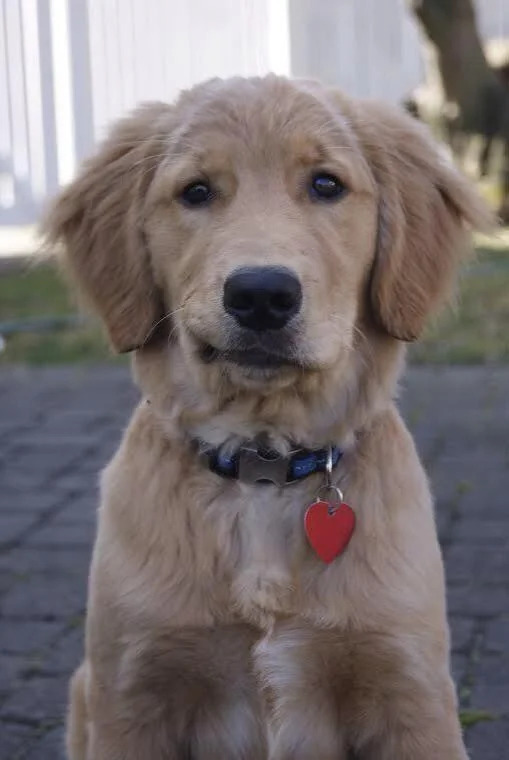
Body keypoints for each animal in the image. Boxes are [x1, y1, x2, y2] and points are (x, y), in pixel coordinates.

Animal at [44, 72, 492, 760]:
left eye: (326, 185)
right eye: (196, 191)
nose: (260, 294)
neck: (262, 467)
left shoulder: (411, 695)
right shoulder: (130, 694)